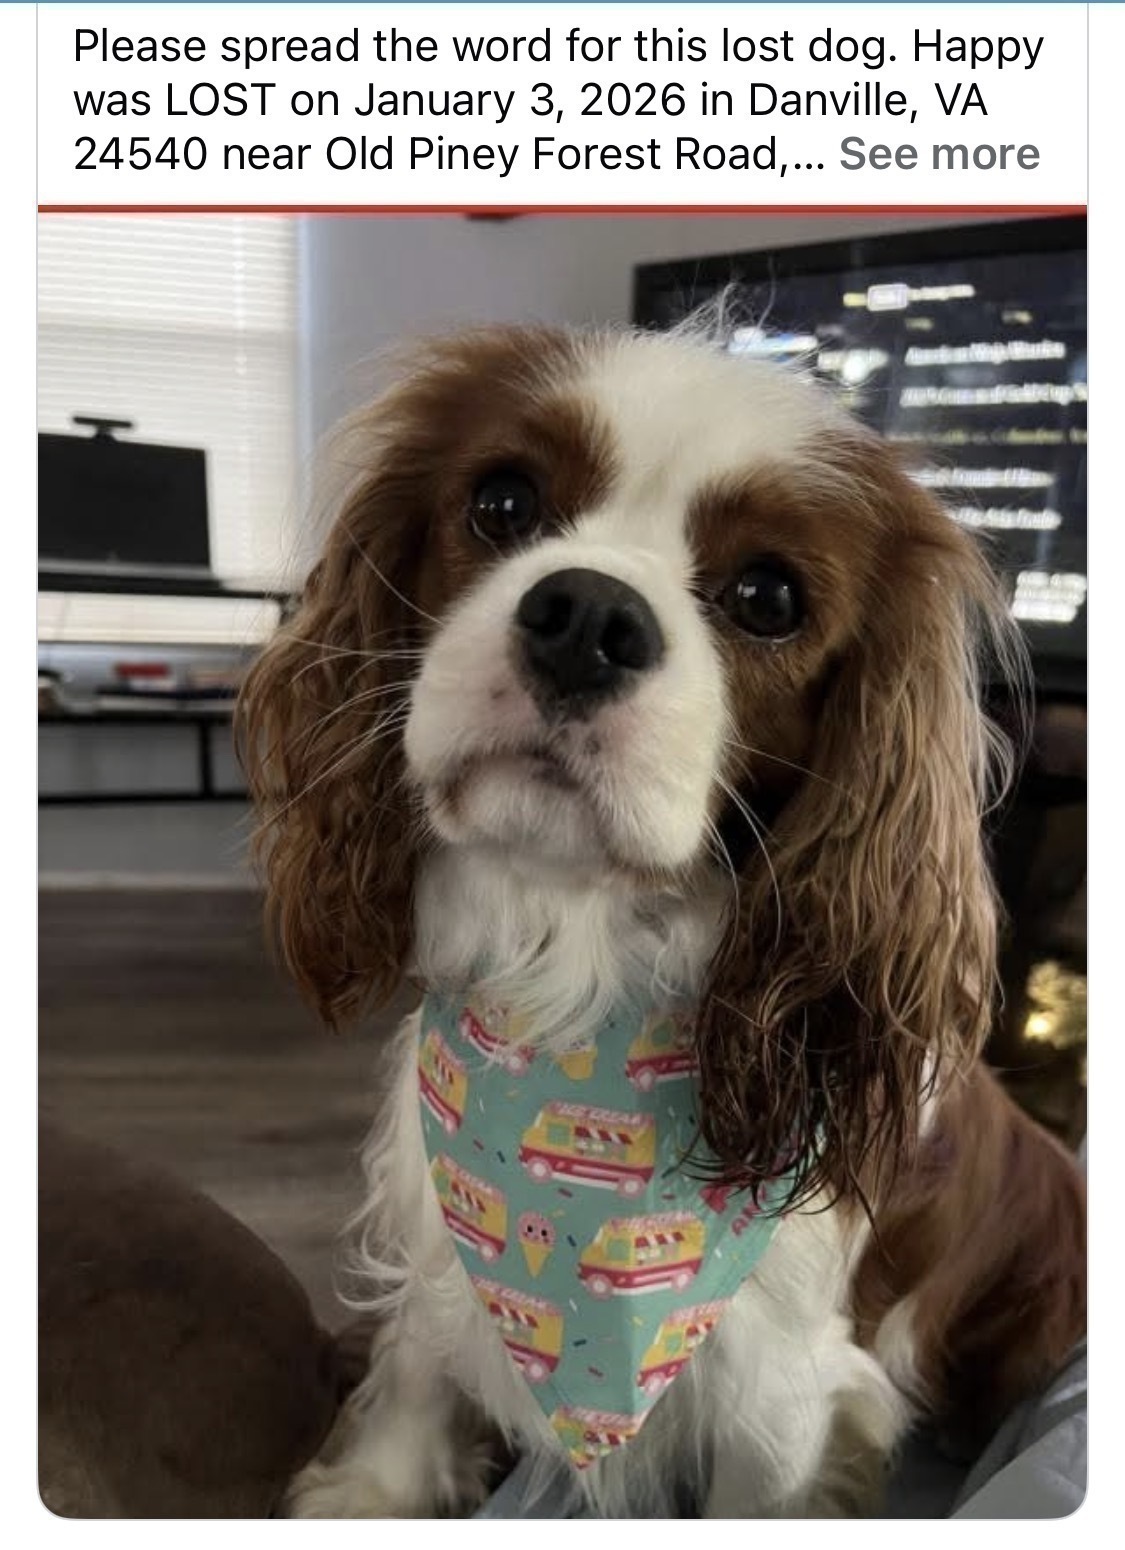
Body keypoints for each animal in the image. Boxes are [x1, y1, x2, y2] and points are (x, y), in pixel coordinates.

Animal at [238, 322, 1086, 1517]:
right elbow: (418, 1356)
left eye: (768, 596)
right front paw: (375, 1489)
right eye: (502, 502)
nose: (587, 618)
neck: (572, 984)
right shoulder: (438, 1234)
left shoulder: (777, 1402)